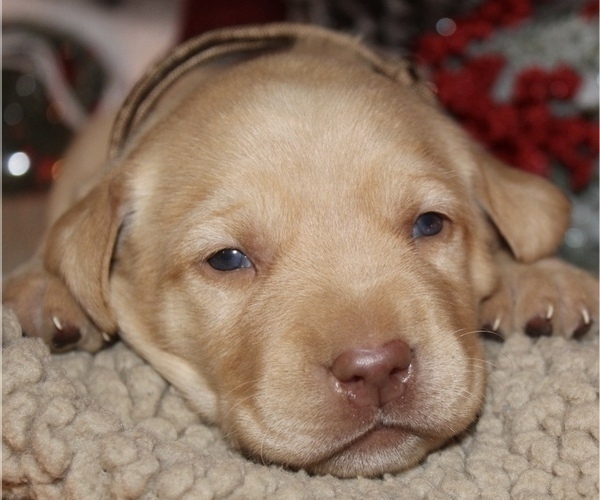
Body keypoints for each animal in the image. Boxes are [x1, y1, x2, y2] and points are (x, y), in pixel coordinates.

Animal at [2, 23, 596, 476]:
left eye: (430, 223)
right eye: (227, 259)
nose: (376, 369)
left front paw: (540, 277)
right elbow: (58, 243)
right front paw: (40, 288)